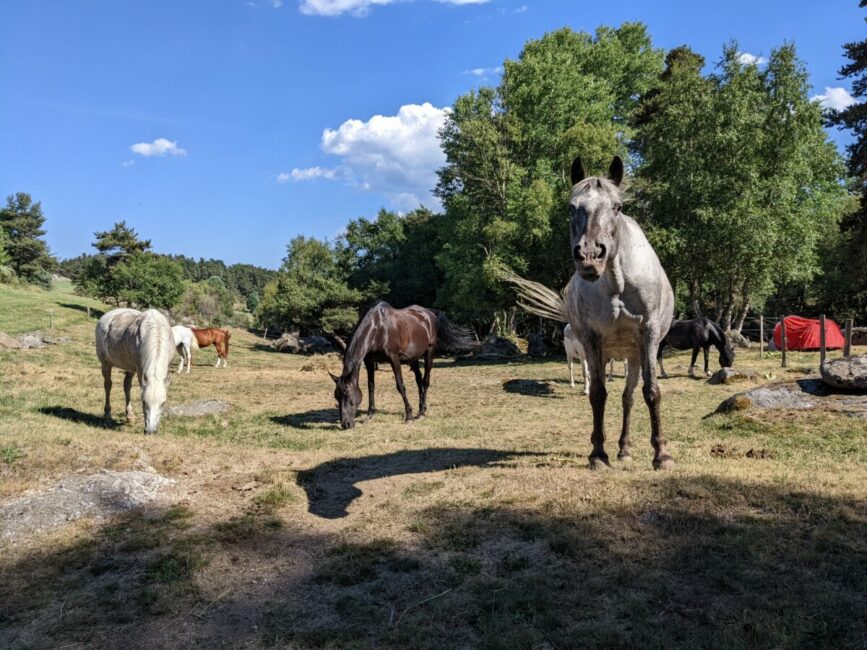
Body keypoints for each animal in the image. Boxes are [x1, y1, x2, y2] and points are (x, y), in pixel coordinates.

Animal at [330, 300, 474, 430]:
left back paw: (421, 412)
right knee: (419, 381)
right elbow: (371, 386)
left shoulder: (394, 358)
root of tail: (429, 314)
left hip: (429, 352)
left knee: (426, 381)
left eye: (348, 395)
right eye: (336, 396)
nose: (345, 424)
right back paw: (420, 408)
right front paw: (370, 415)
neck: (378, 328)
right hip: (413, 358)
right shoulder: (369, 361)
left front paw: (409, 415)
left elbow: (400, 386)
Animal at [512, 157, 676, 470]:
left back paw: (625, 449)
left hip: (634, 355)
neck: (617, 284)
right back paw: (620, 449)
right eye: (571, 207)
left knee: (628, 398)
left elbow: (652, 392)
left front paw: (661, 455)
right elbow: (598, 394)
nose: (590, 257)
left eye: (617, 206)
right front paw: (598, 454)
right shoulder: (591, 340)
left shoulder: (649, 337)